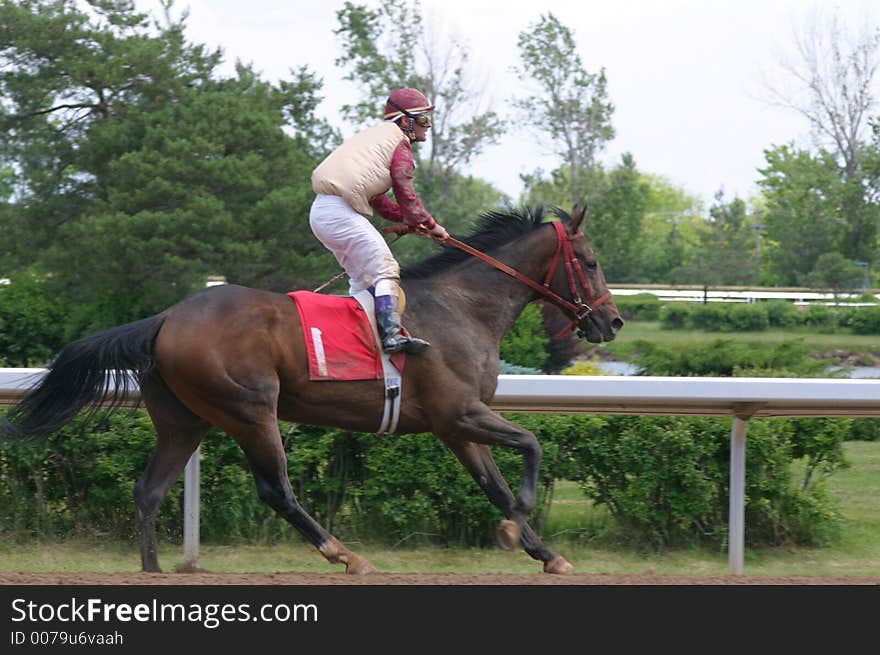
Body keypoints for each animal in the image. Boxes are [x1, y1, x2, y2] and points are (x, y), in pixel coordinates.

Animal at [1, 204, 620, 576]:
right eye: (590, 261)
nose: (611, 322)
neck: (462, 307)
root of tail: (165, 318)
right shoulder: (458, 414)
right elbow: (532, 447)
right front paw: (515, 528)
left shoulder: (456, 427)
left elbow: (495, 483)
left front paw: (546, 553)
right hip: (250, 409)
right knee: (276, 490)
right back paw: (345, 555)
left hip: (184, 420)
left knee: (149, 490)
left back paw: (152, 572)